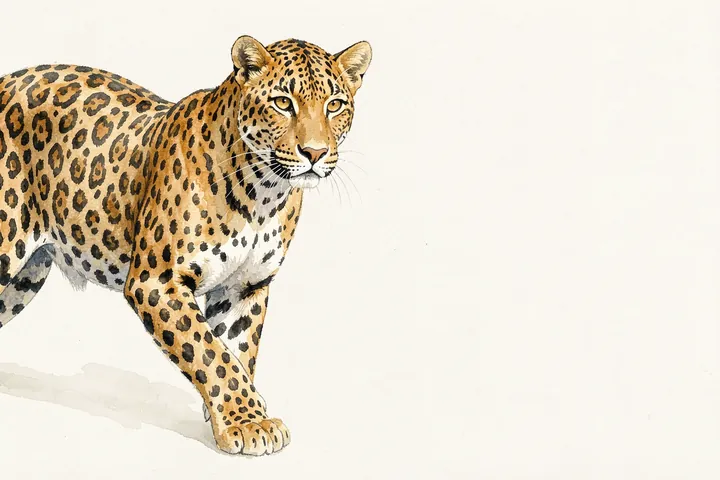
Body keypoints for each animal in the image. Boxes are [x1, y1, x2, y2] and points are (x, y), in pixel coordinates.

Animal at [0, 35, 372, 456]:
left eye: (334, 105)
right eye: (282, 102)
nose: (315, 153)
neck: (262, 194)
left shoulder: (245, 286)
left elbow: (236, 350)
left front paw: (236, 418)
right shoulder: (156, 281)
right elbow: (211, 353)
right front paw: (248, 420)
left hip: (27, 276)